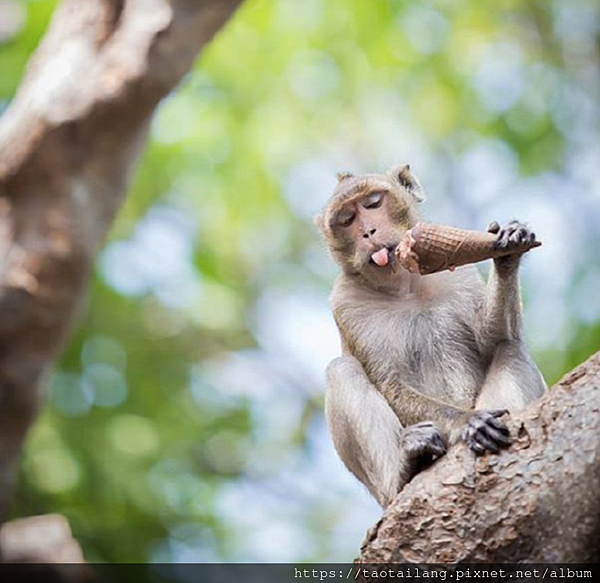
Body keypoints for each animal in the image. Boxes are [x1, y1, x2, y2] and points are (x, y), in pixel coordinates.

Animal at [316, 163, 548, 506]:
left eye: (373, 203)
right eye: (346, 220)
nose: (368, 232)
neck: (406, 286)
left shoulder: (460, 273)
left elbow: (495, 340)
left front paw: (509, 248)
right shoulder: (346, 303)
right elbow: (391, 384)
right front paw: (466, 422)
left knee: (510, 348)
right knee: (341, 370)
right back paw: (405, 469)